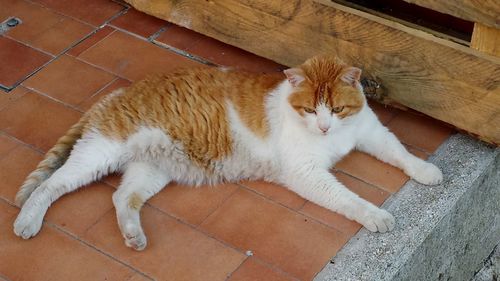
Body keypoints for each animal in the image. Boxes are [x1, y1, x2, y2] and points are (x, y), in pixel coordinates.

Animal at [11, 54, 442, 249]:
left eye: (335, 110)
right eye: (309, 110)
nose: (323, 126)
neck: (330, 135)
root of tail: (117, 93)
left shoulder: (371, 132)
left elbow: (400, 152)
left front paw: (425, 170)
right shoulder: (306, 173)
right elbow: (348, 198)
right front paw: (375, 215)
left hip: (151, 169)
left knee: (122, 197)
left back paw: (133, 234)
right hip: (99, 153)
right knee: (48, 187)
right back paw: (28, 221)